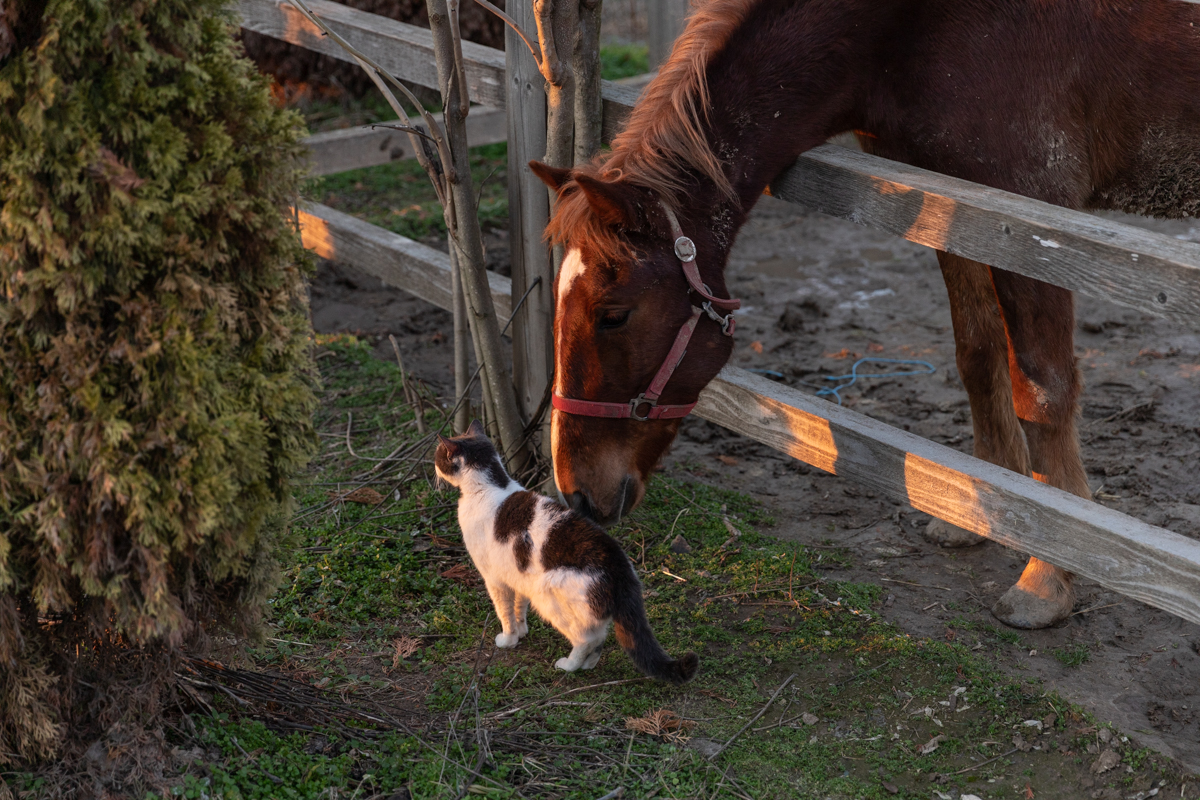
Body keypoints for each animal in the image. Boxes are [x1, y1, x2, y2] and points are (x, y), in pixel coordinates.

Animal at [529, 0, 1200, 630]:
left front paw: (1047, 580)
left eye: (613, 315)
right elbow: (976, 351)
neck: (909, 27)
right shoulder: (954, 201)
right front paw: (974, 515)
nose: (576, 493)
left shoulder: (1033, 216)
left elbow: (1042, 389)